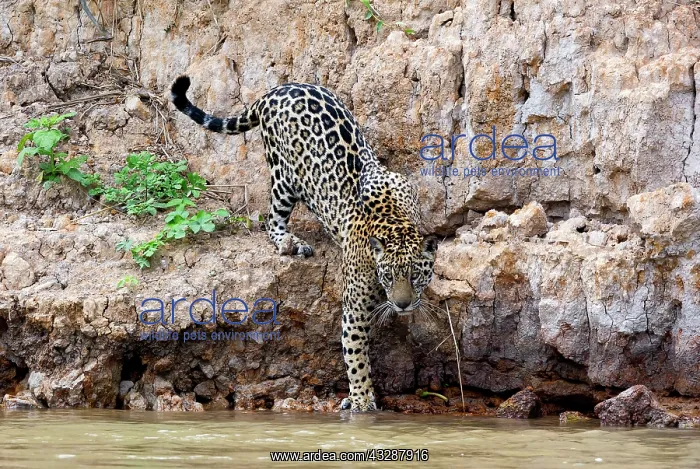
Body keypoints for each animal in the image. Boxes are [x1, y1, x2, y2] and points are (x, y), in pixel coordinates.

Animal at [169, 75, 438, 411]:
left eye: (415, 275)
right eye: (388, 276)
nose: (402, 305)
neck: (395, 222)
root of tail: (276, 90)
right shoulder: (354, 311)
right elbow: (356, 357)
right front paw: (361, 400)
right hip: (284, 176)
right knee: (270, 218)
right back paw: (289, 242)